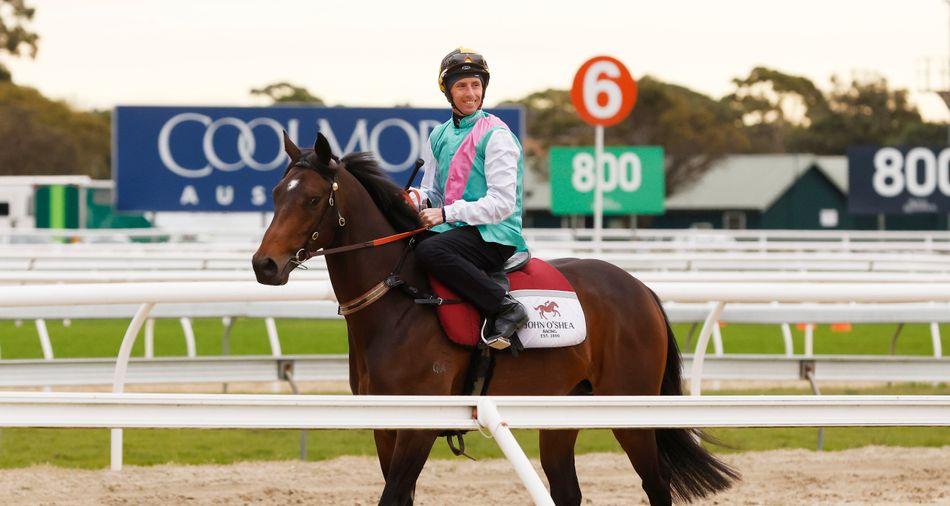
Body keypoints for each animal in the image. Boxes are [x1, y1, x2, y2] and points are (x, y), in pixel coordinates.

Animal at [251, 134, 736, 506]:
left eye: (313, 199)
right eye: (276, 195)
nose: (264, 265)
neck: (401, 301)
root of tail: (641, 289)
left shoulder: (417, 427)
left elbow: (392, 496)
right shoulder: (385, 425)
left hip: (631, 412)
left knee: (657, 485)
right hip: (563, 412)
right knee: (568, 491)